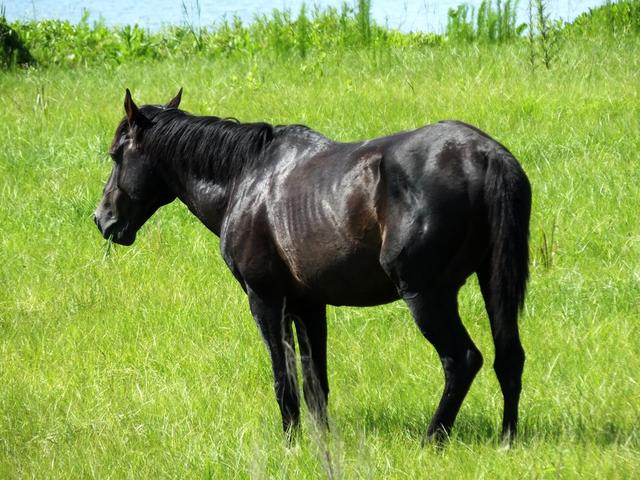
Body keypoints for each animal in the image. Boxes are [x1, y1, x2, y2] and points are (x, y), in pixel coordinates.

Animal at [94, 89, 531, 443]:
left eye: (116, 155)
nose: (103, 220)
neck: (247, 178)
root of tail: (485, 156)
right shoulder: (309, 305)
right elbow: (315, 382)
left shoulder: (267, 300)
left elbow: (284, 379)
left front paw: (291, 443)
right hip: (492, 282)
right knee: (509, 357)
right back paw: (507, 438)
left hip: (427, 296)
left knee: (462, 360)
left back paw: (433, 439)